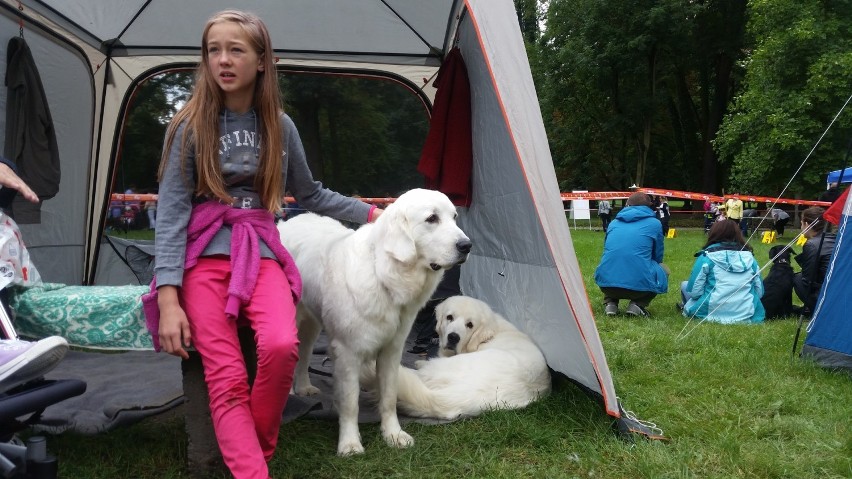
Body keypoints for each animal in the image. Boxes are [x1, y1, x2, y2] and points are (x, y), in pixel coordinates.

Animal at [278, 188, 472, 458]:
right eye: (432, 219)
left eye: (454, 217)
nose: (467, 245)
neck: (384, 273)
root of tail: (288, 222)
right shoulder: (348, 353)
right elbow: (350, 403)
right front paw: (350, 443)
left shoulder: (392, 351)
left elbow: (389, 397)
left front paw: (393, 434)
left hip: (313, 323)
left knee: (305, 354)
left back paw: (305, 387)